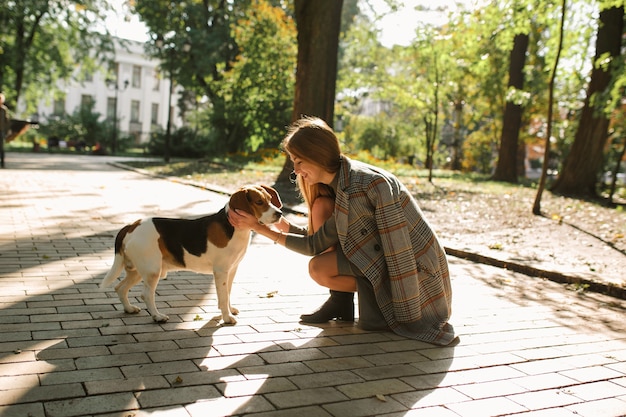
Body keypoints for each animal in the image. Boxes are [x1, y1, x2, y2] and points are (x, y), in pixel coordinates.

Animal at [101, 184, 282, 324]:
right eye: (259, 202)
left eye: (270, 199)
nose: (280, 214)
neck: (234, 228)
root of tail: (131, 225)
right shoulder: (221, 271)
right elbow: (223, 296)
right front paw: (227, 317)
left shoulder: (232, 270)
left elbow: (228, 293)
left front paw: (229, 310)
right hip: (152, 271)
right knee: (146, 294)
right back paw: (157, 316)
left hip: (138, 271)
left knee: (120, 288)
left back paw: (129, 309)